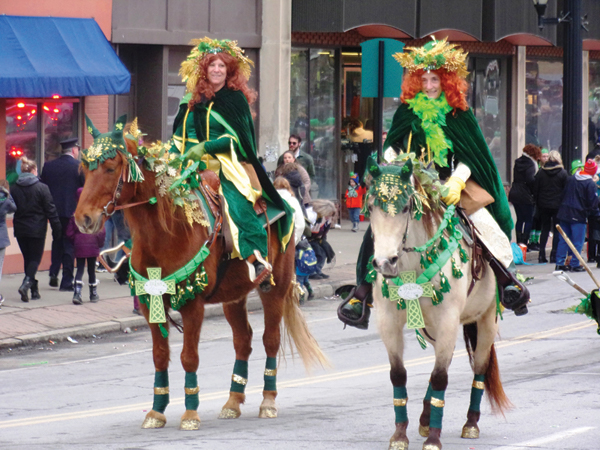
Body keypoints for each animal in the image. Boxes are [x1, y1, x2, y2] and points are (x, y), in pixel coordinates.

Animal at [76, 136, 328, 428]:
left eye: (109, 168)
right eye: (84, 171)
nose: (82, 219)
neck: (167, 231)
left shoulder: (192, 305)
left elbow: (189, 357)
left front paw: (190, 414)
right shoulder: (151, 302)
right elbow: (159, 355)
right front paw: (156, 412)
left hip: (276, 287)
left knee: (270, 340)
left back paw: (267, 402)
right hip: (233, 295)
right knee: (243, 340)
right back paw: (232, 402)